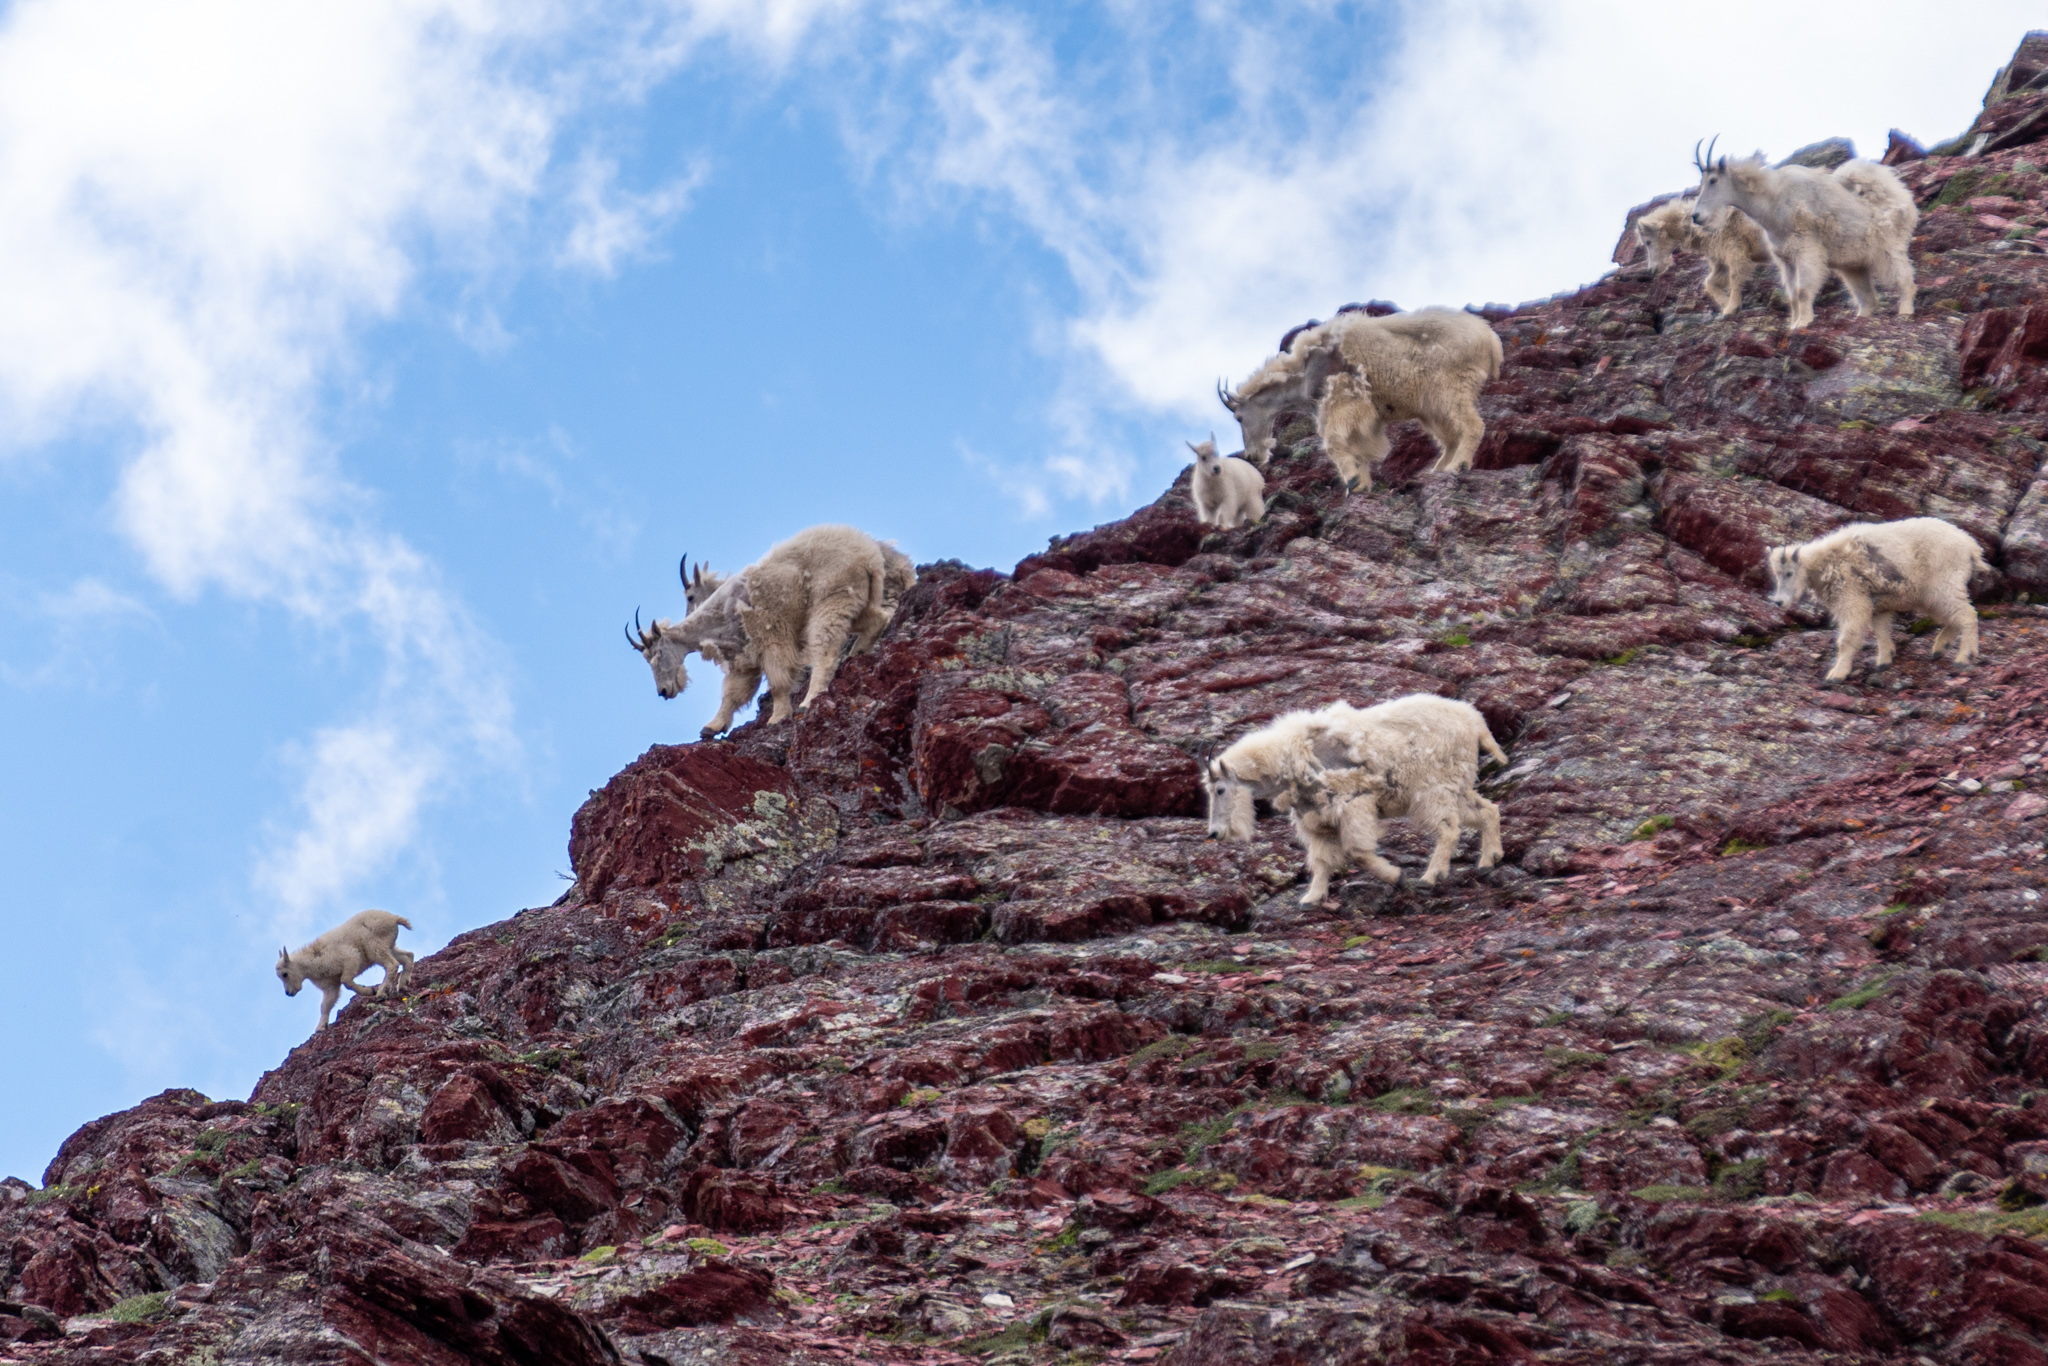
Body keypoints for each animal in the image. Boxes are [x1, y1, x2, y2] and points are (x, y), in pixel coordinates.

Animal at [276, 910, 414, 1032]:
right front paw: (320, 1027)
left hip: (374, 945)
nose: (288, 993)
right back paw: (402, 984)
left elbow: (346, 981)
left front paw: (369, 990)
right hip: (388, 946)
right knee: (407, 957)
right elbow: (325, 1005)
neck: (313, 959)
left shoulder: (350, 958)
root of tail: (393, 918)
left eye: (285, 974)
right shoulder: (331, 985)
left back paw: (381, 992)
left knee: (392, 964)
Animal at [1634, 196, 1773, 318]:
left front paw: (1731, 308)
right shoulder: (1720, 258)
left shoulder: (1734, 248)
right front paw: (1724, 302)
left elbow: (1735, 276)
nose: (1652, 270)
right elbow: (1710, 282)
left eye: (1648, 242)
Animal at [1691, 139, 1918, 330]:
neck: (1772, 201)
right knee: (1868, 298)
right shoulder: (1785, 258)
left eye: (1713, 180)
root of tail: (1902, 198)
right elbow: (1792, 295)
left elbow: (1802, 290)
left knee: (1905, 278)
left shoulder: (1806, 250)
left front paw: (1803, 322)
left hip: (1888, 248)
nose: (1696, 216)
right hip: (1853, 264)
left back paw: (1905, 311)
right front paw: (1793, 324)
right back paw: (1861, 317)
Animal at [1766, 517, 1987, 682]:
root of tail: (1971, 547)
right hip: (1931, 595)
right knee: (1953, 617)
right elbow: (1881, 631)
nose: (1779, 602)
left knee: (1967, 614)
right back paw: (1940, 648)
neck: (1825, 562)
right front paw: (1884, 660)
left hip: (1944, 585)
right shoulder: (1878, 605)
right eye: (1776, 574)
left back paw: (1964, 657)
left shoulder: (1852, 597)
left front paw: (1837, 674)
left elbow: (1847, 638)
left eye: (1789, 573)